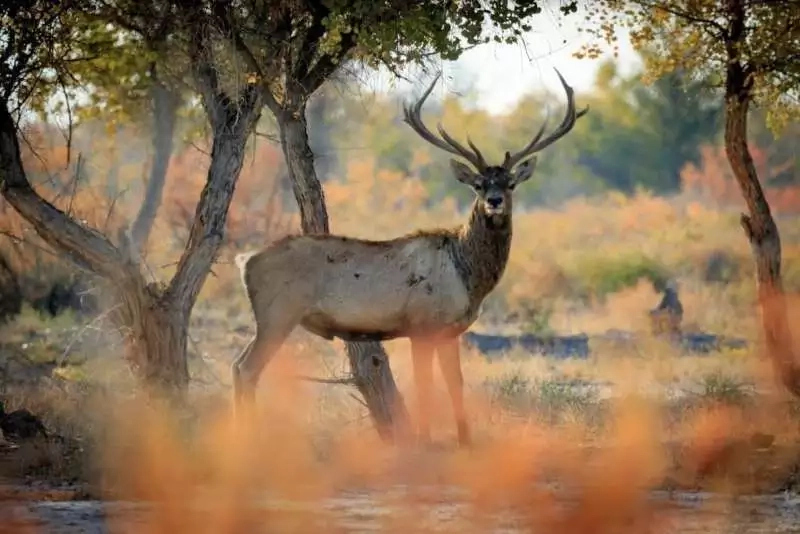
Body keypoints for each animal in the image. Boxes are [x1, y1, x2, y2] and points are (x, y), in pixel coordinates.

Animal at [231, 69, 588, 450]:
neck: (467, 276)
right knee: (247, 368)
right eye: (478, 184)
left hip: (272, 317)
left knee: (238, 365)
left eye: (510, 184)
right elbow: (424, 387)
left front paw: (465, 440)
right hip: (279, 313)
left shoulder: (449, 332)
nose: (494, 201)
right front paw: (424, 440)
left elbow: (455, 384)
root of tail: (245, 260)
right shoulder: (422, 325)